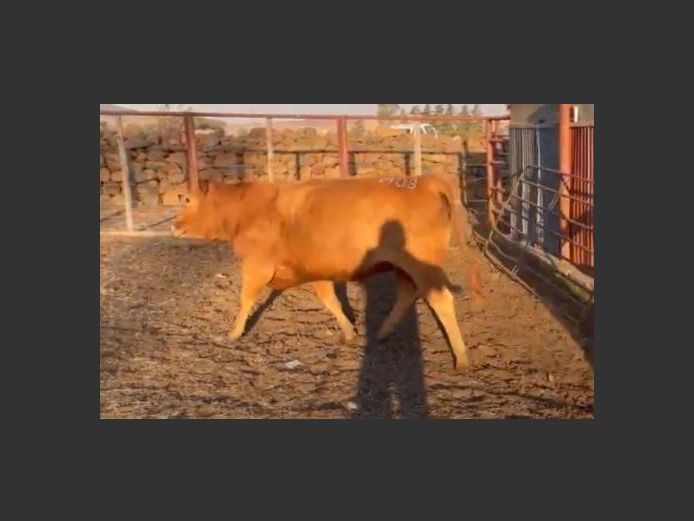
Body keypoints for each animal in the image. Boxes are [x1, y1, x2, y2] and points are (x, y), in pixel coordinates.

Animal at [171, 174, 481, 369]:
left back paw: (461, 358)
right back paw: (383, 331)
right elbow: (329, 299)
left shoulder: (256, 266)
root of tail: (425, 180)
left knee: (440, 299)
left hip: (422, 265)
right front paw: (349, 332)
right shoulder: (317, 269)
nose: (174, 226)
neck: (248, 208)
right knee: (407, 294)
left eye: (186, 199)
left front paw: (234, 332)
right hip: (403, 267)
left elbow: (245, 299)